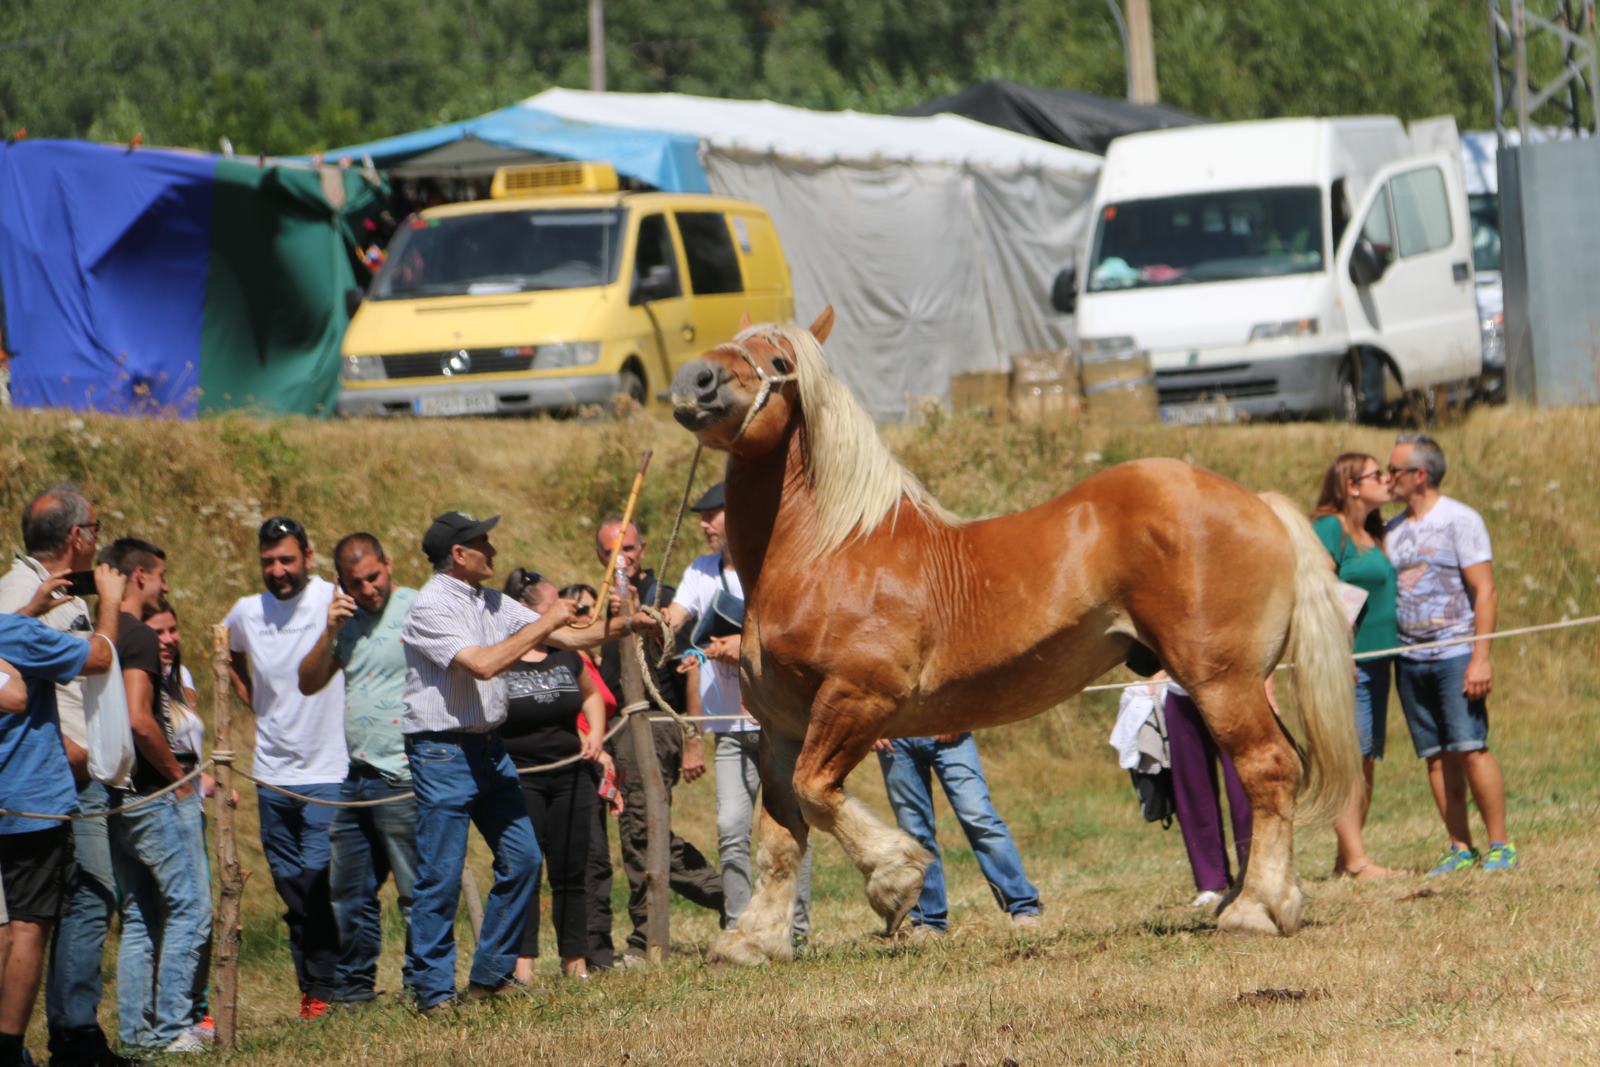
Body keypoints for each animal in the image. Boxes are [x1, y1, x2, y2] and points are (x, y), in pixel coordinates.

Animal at [668, 308, 1356, 966]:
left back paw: (1257, 909)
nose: (693, 379)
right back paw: (1259, 899)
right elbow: (782, 832)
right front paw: (754, 940)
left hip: (1220, 680)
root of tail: (1259, 504)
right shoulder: (782, 725)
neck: (829, 551)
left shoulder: (857, 699)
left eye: (779, 361)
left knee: (1268, 769)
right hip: (1239, 683)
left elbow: (816, 794)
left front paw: (896, 878)